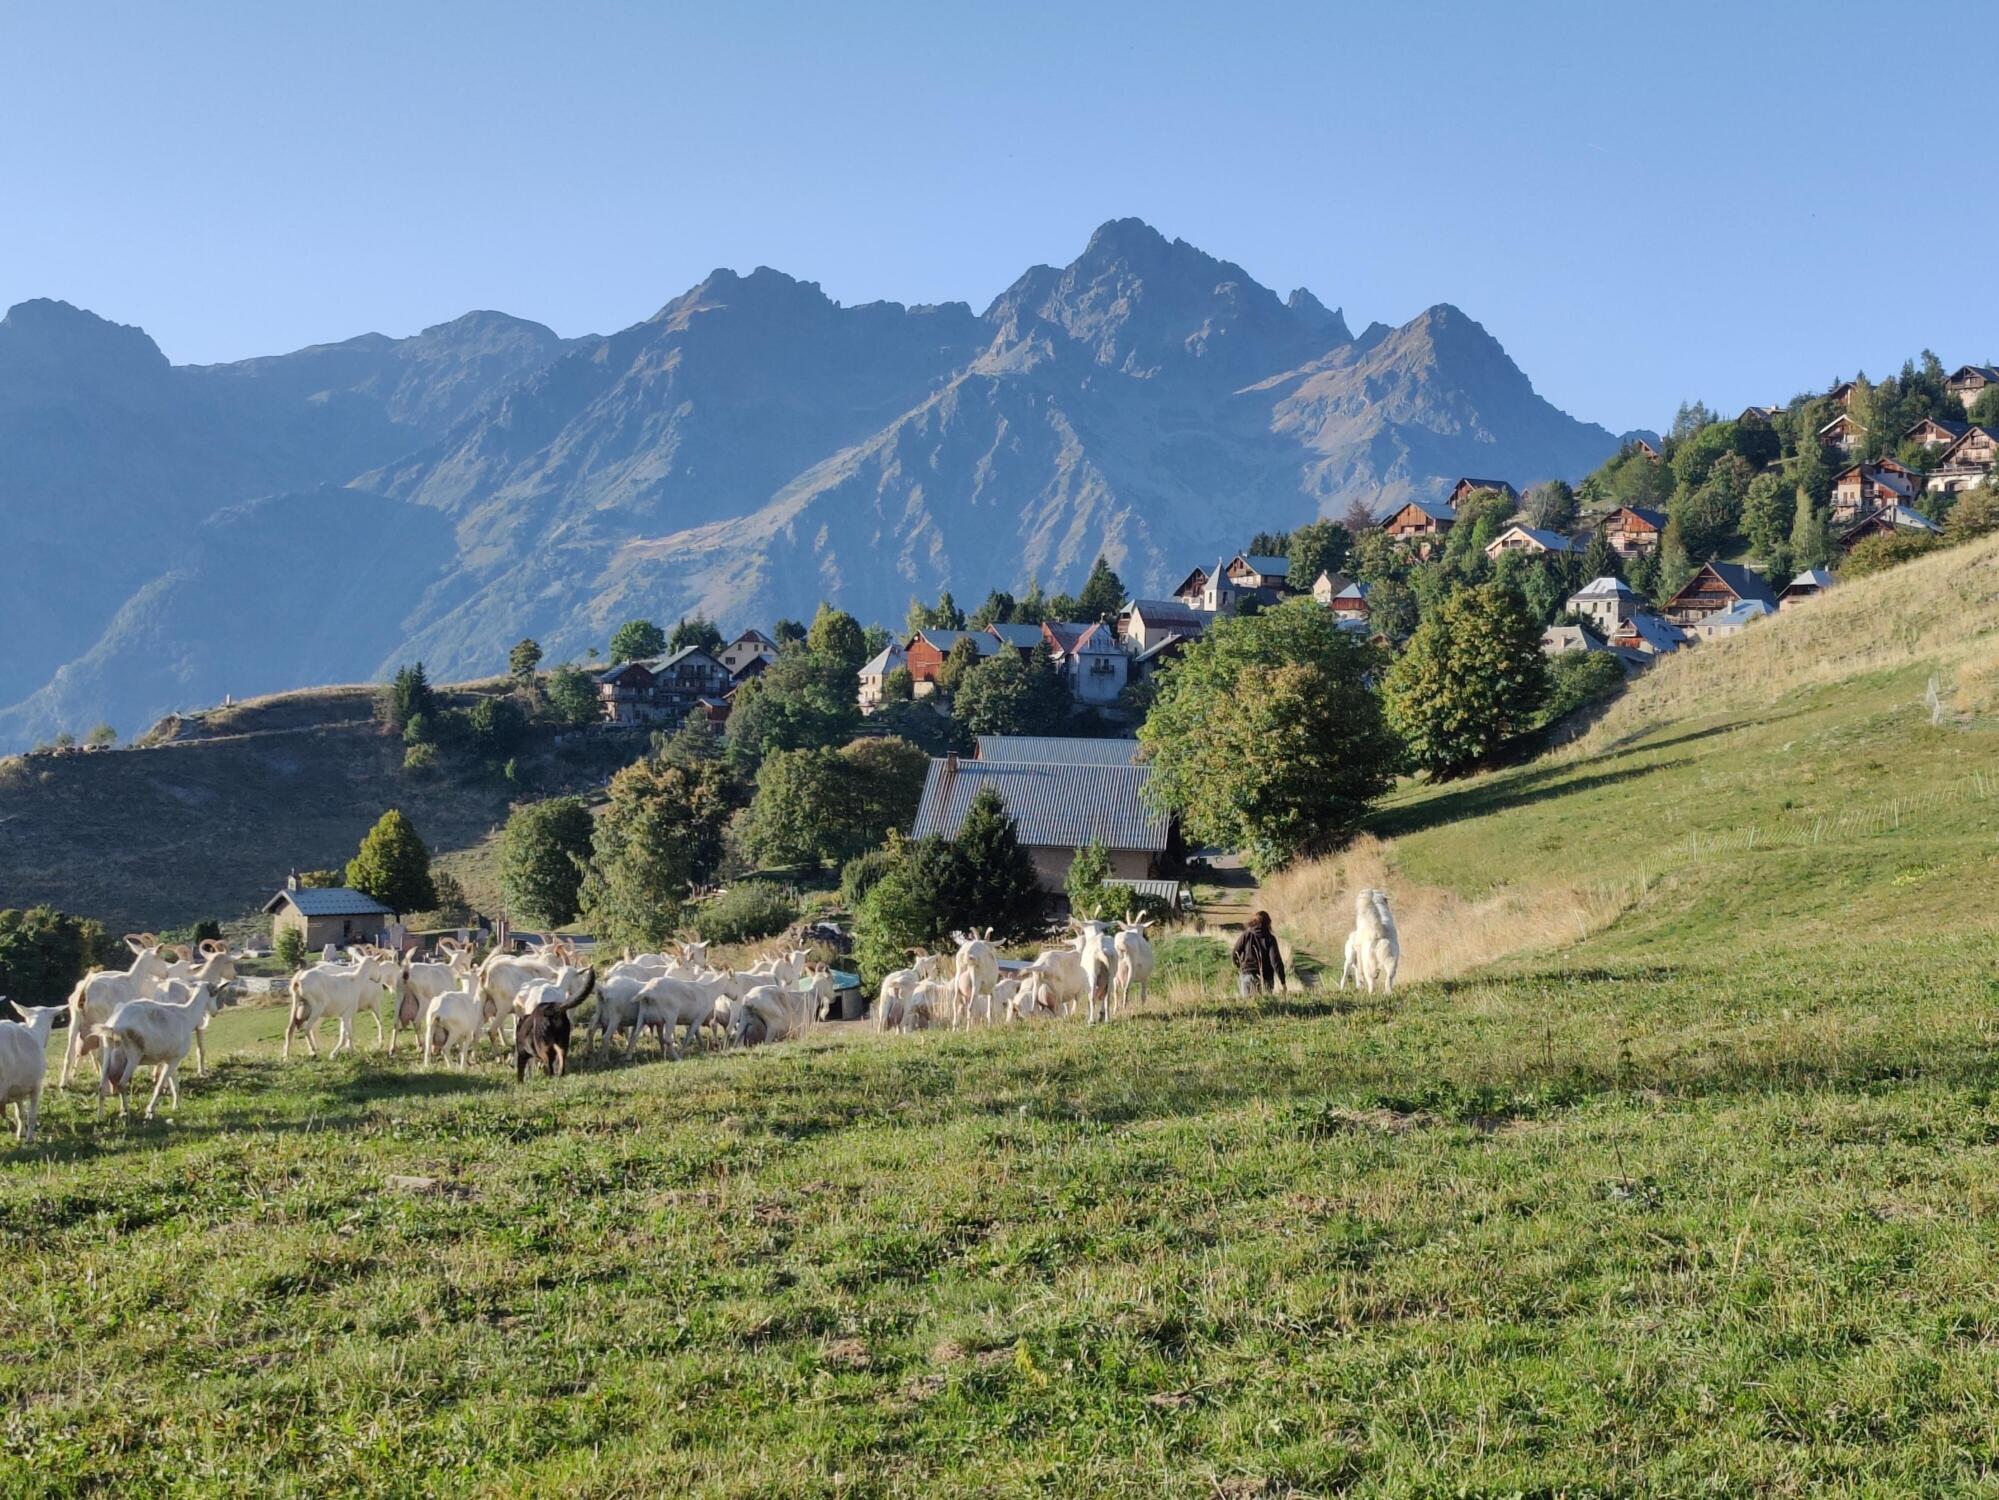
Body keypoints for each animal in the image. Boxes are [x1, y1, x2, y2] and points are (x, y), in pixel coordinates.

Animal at [0, 1003, 65, 1143]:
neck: (35, 1032)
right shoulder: (37, 1086)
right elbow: (32, 1115)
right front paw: (29, 1138)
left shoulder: (17, 1089)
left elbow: (20, 1114)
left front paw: (20, 1134)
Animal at [92, 983, 222, 1119]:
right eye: (216, 994)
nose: (215, 1012)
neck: (187, 1015)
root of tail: (114, 1025)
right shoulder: (175, 1059)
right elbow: (160, 1087)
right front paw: (150, 1111)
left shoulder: (169, 1059)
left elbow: (175, 1084)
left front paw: (176, 1107)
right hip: (133, 1055)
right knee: (121, 1084)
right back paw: (125, 1111)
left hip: (107, 1052)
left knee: (101, 1086)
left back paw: (100, 1116)